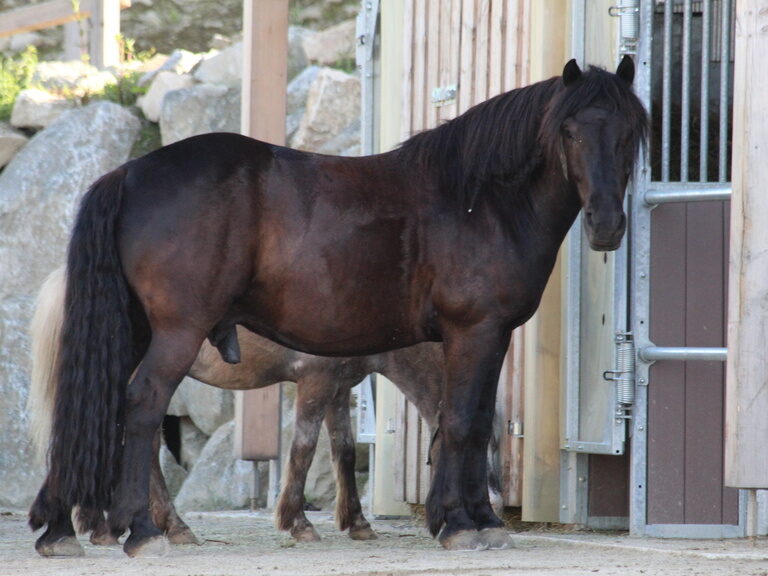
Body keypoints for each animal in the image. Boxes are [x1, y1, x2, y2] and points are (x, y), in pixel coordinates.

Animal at [28, 266, 504, 549]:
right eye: (482, 448)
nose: (491, 508)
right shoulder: (316, 384)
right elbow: (304, 450)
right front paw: (298, 523)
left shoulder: (337, 390)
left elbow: (344, 452)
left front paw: (357, 522)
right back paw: (161, 528)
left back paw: (107, 526)